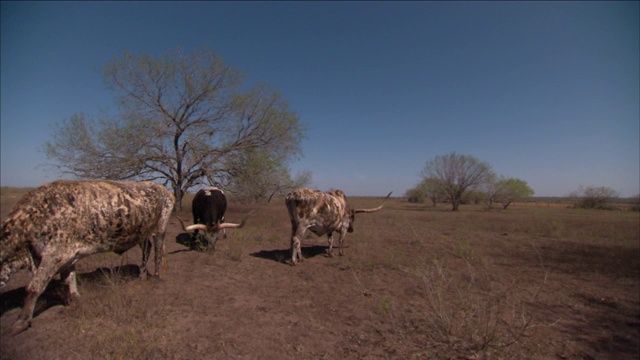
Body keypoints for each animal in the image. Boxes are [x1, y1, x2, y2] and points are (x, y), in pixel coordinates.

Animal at [0, 180, 175, 334]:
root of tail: (160, 187)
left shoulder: (55, 255)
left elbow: (33, 287)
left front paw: (21, 322)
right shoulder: (66, 255)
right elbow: (69, 278)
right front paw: (75, 299)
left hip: (161, 226)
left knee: (158, 250)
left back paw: (156, 276)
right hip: (142, 233)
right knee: (147, 248)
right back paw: (142, 275)